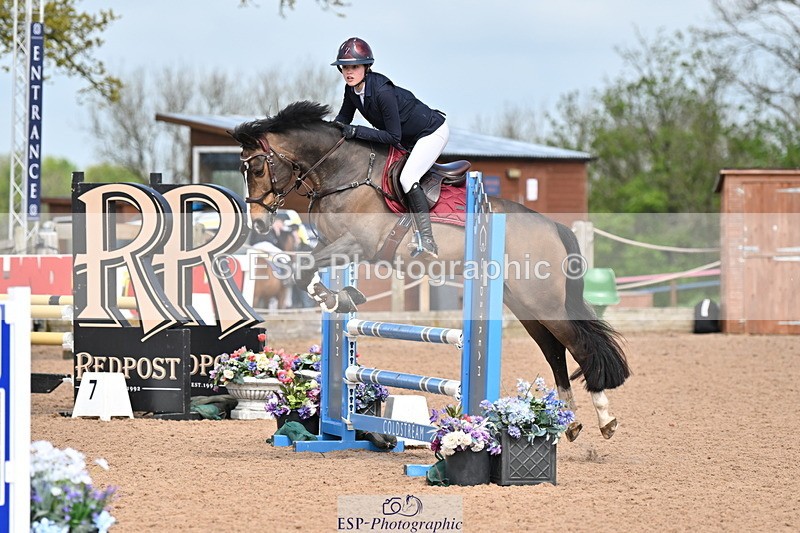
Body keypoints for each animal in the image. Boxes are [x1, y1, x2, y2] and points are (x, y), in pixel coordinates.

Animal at [230, 101, 630, 440]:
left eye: (258, 167)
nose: (260, 224)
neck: (344, 173)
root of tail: (553, 226)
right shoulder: (331, 244)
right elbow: (302, 268)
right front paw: (340, 296)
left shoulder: (356, 244)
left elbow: (303, 270)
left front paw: (336, 297)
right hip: (523, 304)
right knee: (554, 350)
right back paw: (571, 421)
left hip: (541, 300)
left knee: (578, 343)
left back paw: (604, 418)